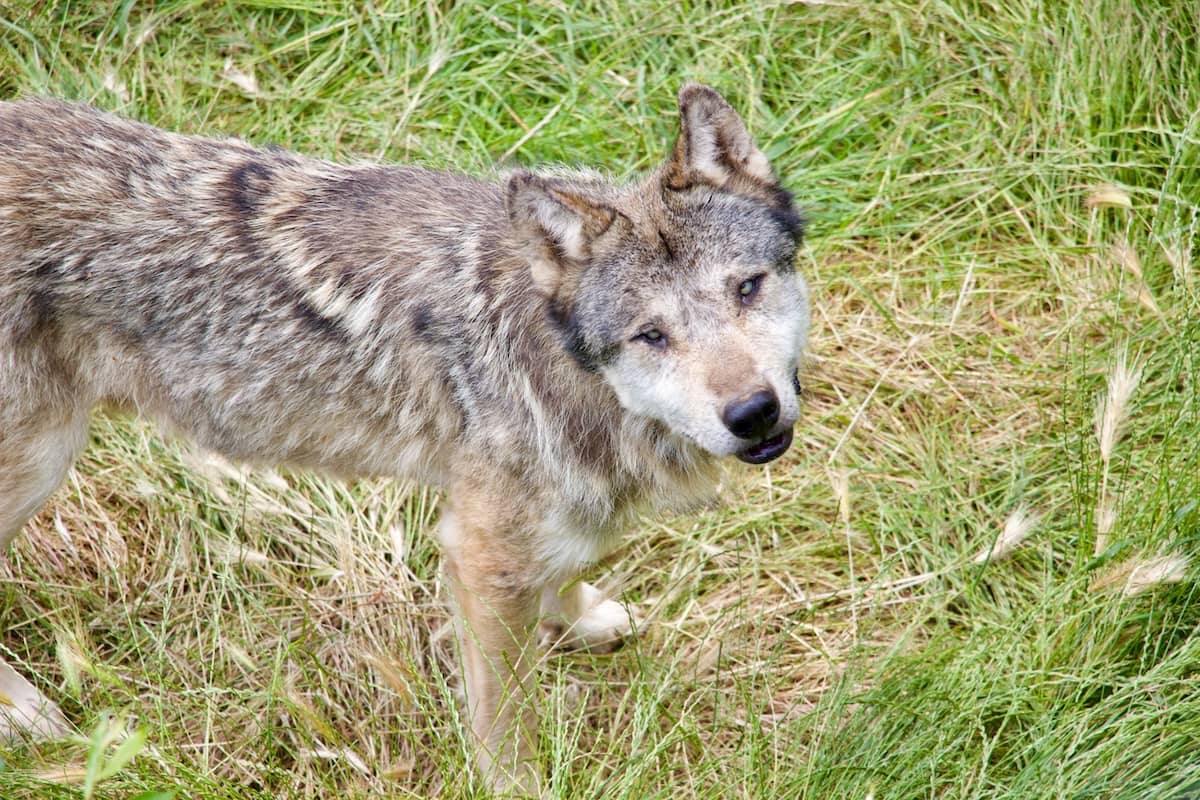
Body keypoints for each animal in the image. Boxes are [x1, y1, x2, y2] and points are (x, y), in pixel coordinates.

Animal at [0, 84, 809, 794]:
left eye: (747, 287)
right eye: (651, 336)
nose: (752, 413)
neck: (561, 363)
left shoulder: (531, 524)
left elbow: (570, 566)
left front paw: (581, 616)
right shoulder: (479, 551)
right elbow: (505, 721)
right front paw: (517, 787)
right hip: (40, 464)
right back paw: (24, 711)